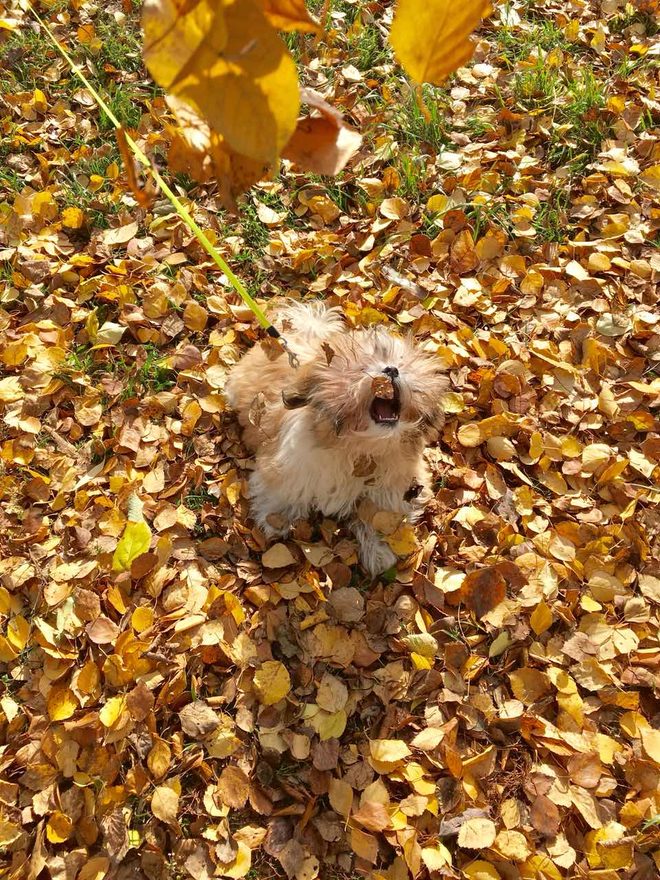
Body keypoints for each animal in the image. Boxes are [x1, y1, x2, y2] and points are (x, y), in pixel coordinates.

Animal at [226, 302, 448, 576]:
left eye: (402, 364)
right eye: (360, 369)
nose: (391, 369)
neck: (360, 446)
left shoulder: (394, 484)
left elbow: (380, 514)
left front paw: (379, 550)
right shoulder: (291, 464)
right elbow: (283, 490)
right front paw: (276, 519)